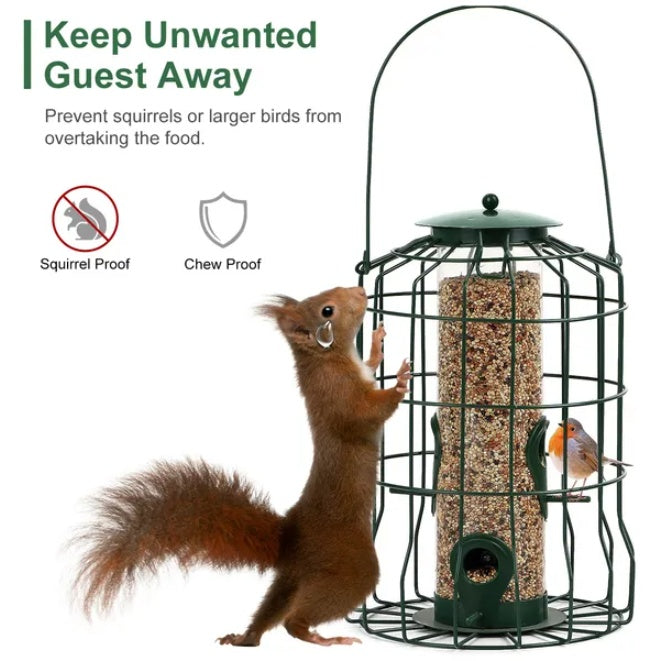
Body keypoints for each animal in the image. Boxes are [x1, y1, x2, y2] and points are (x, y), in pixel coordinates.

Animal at [72, 286, 411, 647]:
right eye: (327, 310)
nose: (361, 291)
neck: (329, 358)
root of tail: (290, 538)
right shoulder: (338, 397)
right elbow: (366, 415)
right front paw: (401, 382)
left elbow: (371, 367)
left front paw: (376, 342)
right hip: (351, 567)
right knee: (294, 621)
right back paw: (323, 638)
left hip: (291, 578)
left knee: (270, 613)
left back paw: (243, 637)